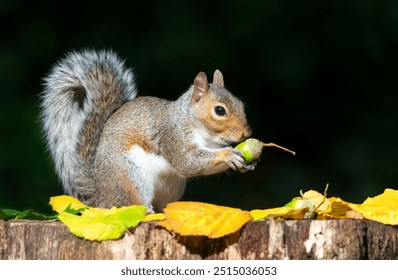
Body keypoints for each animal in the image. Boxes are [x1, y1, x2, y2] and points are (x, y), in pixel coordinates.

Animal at [40, 49, 255, 212]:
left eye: (241, 104)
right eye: (219, 110)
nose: (246, 134)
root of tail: (101, 198)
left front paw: (247, 163)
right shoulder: (172, 134)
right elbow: (188, 162)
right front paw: (228, 155)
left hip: (171, 188)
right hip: (130, 176)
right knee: (132, 205)